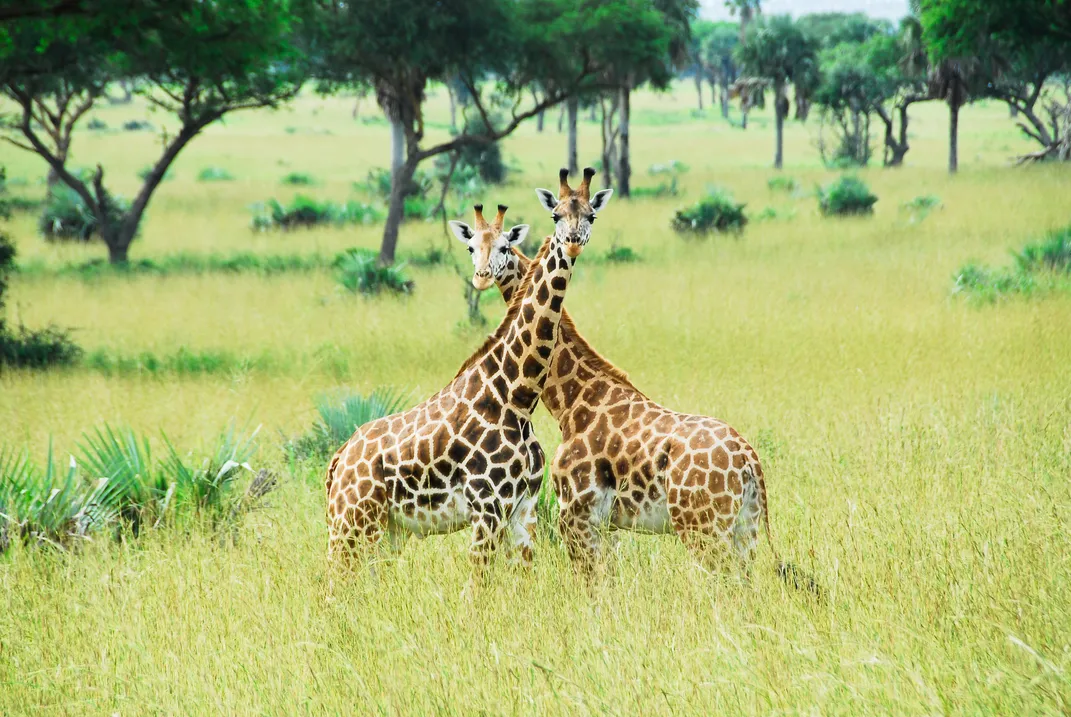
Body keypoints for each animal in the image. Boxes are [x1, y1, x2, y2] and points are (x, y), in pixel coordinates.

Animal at [325, 171, 605, 572]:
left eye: (591, 215)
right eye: (556, 215)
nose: (572, 243)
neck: (518, 396)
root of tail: (337, 460)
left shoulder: (523, 510)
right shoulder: (487, 508)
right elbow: (477, 584)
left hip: (386, 528)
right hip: (350, 520)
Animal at [471, 181, 808, 586]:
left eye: (504, 246)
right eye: (472, 244)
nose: (481, 276)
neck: (571, 403)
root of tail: (749, 461)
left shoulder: (574, 514)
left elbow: (589, 584)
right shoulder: (609, 525)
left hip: (703, 528)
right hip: (746, 528)